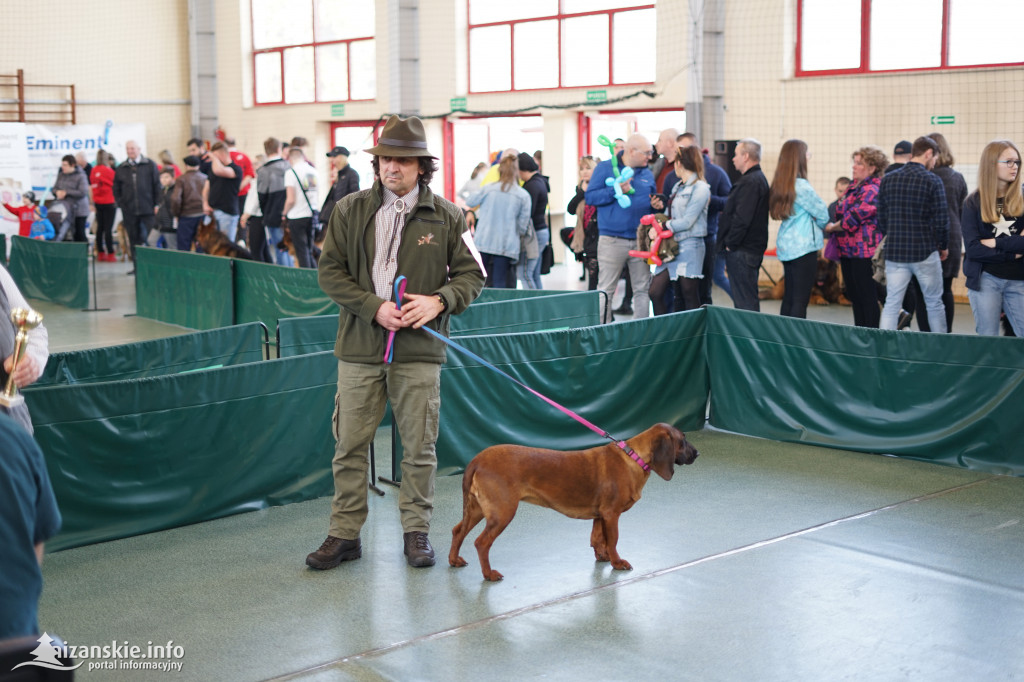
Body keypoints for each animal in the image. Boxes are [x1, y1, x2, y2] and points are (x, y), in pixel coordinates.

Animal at [452, 421, 700, 577]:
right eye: (682, 440)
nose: (697, 454)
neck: (634, 457)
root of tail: (477, 460)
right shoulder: (611, 514)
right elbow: (613, 540)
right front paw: (617, 562)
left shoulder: (601, 515)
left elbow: (598, 539)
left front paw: (603, 557)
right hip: (502, 513)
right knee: (481, 542)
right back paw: (488, 574)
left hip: (477, 509)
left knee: (458, 531)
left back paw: (454, 560)